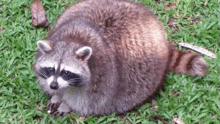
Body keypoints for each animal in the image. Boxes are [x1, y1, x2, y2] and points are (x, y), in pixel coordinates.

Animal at [34, 0, 206, 116]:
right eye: (51, 69)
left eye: (66, 72)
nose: (54, 86)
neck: (74, 39)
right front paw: (57, 96)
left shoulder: (102, 75)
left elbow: (88, 100)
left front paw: (67, 105)